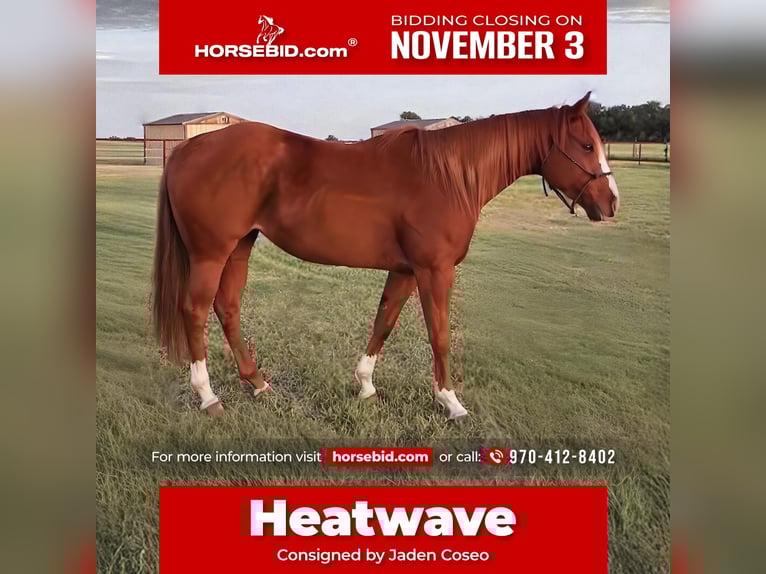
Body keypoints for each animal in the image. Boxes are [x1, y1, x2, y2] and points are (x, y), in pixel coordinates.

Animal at [151, 92, 619, 419]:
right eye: (584, 146)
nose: (611, 202)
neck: (447, 177)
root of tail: (187, 149)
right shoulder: (435, 271)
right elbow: (440, 335)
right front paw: (451, 402)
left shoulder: (406, 270)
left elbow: (384, 321)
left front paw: (365, 387)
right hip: (211, 252)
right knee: (195, 310)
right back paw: (209, 397)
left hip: (241, 247)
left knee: (227, 308)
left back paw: (258, 384)